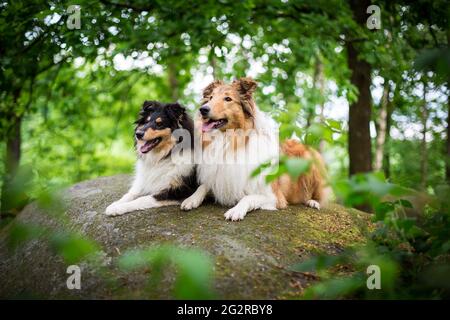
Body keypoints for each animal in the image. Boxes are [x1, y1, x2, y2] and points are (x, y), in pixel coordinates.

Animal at [181, 79, 328, 221]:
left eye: (228, 99)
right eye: (211, 97)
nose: (203, 109)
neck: (230, 142)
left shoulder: (273, 197)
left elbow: (248, 197)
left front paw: (236, 210)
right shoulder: (220, 179)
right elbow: (203, 186)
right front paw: (191, 199)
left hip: (311, 160)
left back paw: (313, 202)